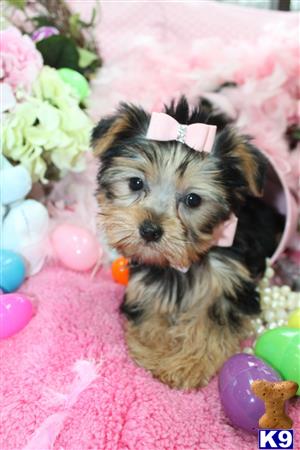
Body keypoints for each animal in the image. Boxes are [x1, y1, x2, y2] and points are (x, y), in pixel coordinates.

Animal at [93, 96, 284, 388]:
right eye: (135, 183)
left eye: (193, 200)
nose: (150, 230)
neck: (182, 264)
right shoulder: (146, 282)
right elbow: (150, 312)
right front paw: (154, 351)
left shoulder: (229, 283)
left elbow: (211, 323)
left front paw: (186, 364)